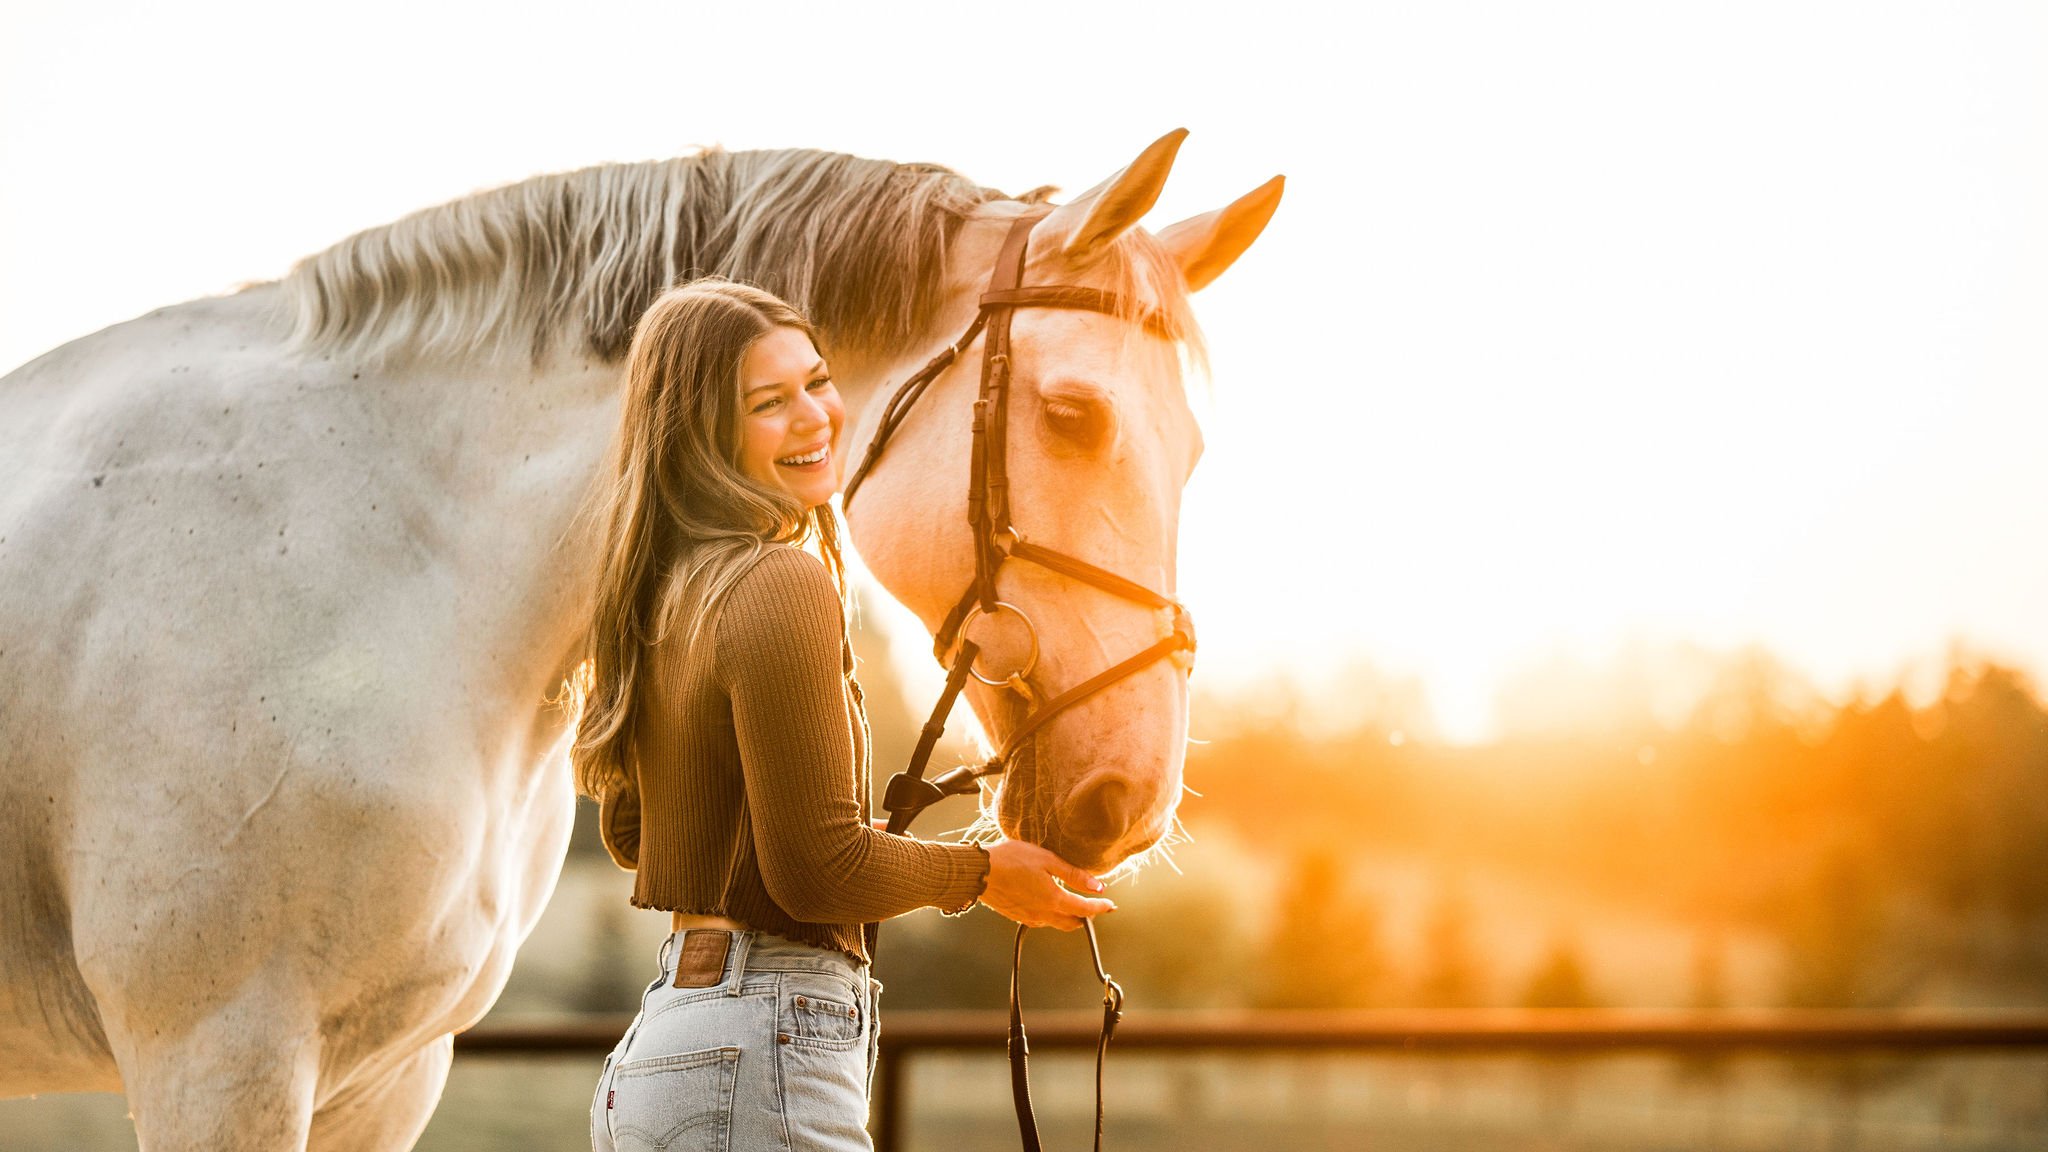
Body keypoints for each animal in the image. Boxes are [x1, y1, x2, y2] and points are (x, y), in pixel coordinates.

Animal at [0, 130, 1280, 1150]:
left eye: (1194, 451)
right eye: (1073, 416)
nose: (1127, 796)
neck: (371, 553)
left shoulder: (383, 1078)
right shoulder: (223, 1058)